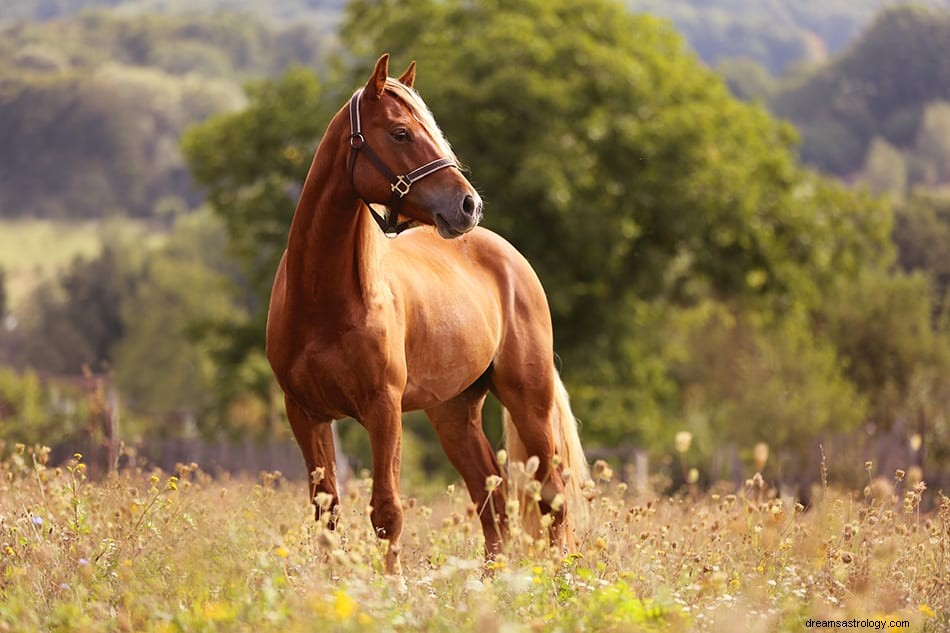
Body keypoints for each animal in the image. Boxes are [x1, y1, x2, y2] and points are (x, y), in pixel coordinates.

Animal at [268, 54, 592, 572]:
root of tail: (511, 258)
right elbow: (327, 512)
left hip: (529, 400)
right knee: (491, 498)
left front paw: (393, 584)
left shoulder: (383, 409)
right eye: (400, 132)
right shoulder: (305, 413)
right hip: (454, 412)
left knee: (551, 495)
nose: (468, 205)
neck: (323, 300)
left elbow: (387, 511)